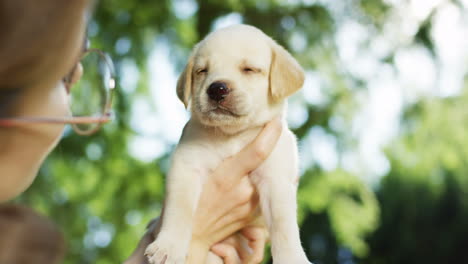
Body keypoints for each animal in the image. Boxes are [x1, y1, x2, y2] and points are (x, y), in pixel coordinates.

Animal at [144, 24, 308, 264]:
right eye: (202, 71)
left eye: (249, 69)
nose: (217, 89)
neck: (233, 136)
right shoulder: (186, 167)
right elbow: (179, 210)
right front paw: (169, 245)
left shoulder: (276, 180)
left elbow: (283, 226)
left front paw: (292, 258)